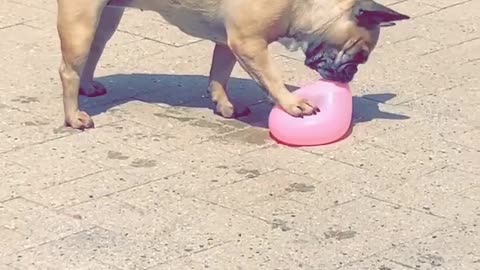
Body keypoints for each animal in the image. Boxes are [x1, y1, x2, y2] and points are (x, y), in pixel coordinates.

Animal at [56, 0, 408, 129]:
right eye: (361, 56)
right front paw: (293, 104)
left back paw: (88, 86)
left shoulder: (229, 43)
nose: (351, 74)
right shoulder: (249, 44)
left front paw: (224, 105)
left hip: (105, 19)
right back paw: (74, 116)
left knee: (93, 52)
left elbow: (219, 75)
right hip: (81, 20)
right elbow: (271, 78)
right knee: (68, 69)